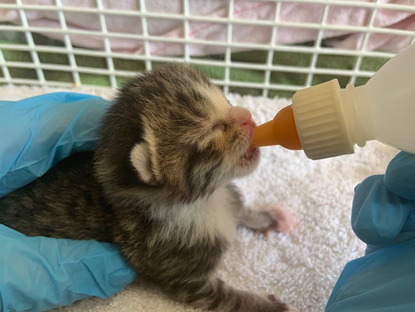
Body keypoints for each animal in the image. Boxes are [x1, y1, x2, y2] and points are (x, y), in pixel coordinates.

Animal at [0, 64, 300, 310]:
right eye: (213, 131)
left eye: (226, 101)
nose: (247, 116)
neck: (203, 201)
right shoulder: (183, 276)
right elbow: (228, 298)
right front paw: (271, 306)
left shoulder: (228, 197)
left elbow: (242, 210)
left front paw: (269, 217)